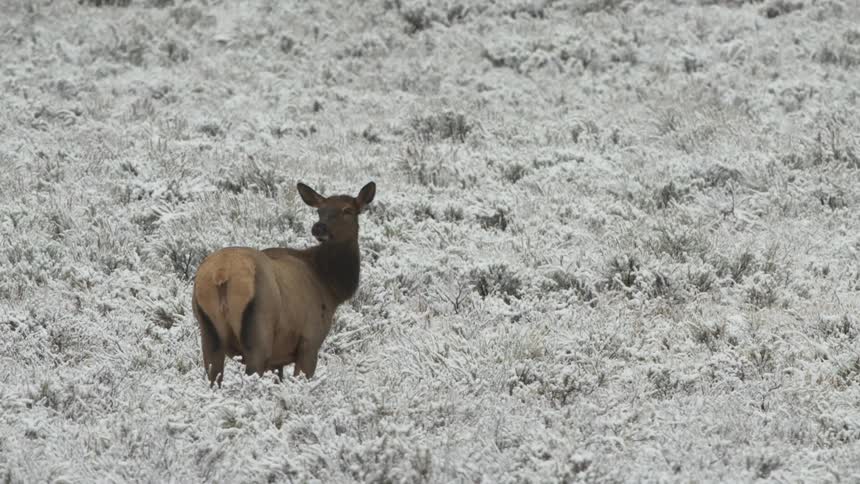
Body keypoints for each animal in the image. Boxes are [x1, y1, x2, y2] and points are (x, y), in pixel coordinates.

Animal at [191, 181, 376, 387]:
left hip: (208, 333)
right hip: (258, 332)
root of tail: (221, 274)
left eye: (347, 210)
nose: (319, 227)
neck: (330, 287)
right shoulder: (310, 341)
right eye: (320, 210)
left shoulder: (277, 358)